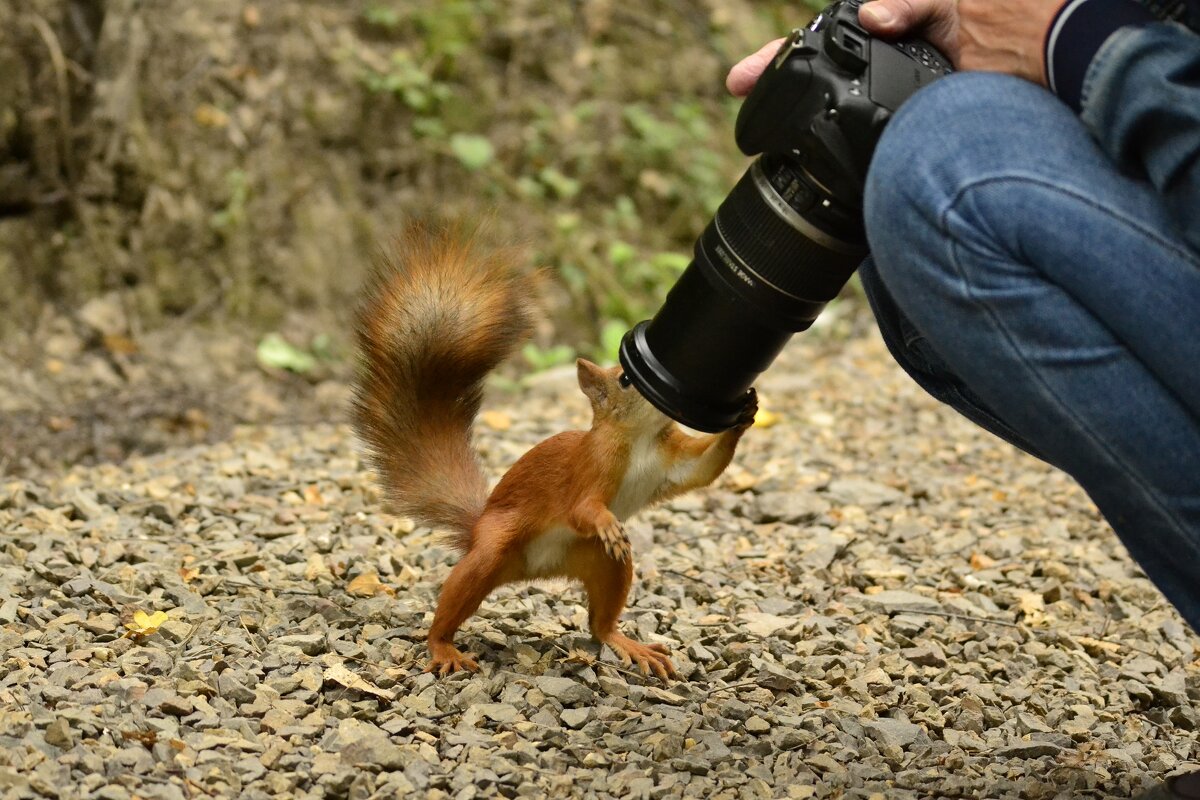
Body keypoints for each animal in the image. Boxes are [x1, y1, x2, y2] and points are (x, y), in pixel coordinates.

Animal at [350, 221, 753, 681]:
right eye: (625, 380)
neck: (642, 439)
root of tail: (532, 570)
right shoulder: (589, 466)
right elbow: (581, 507)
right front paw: (605, 519)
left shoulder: (672, 460)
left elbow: (702, 470)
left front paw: (746, 414)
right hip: (491, 553)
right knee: (453, 602)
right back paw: (443, 647)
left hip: (605, 564)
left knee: (601, 624)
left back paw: (628, 644)